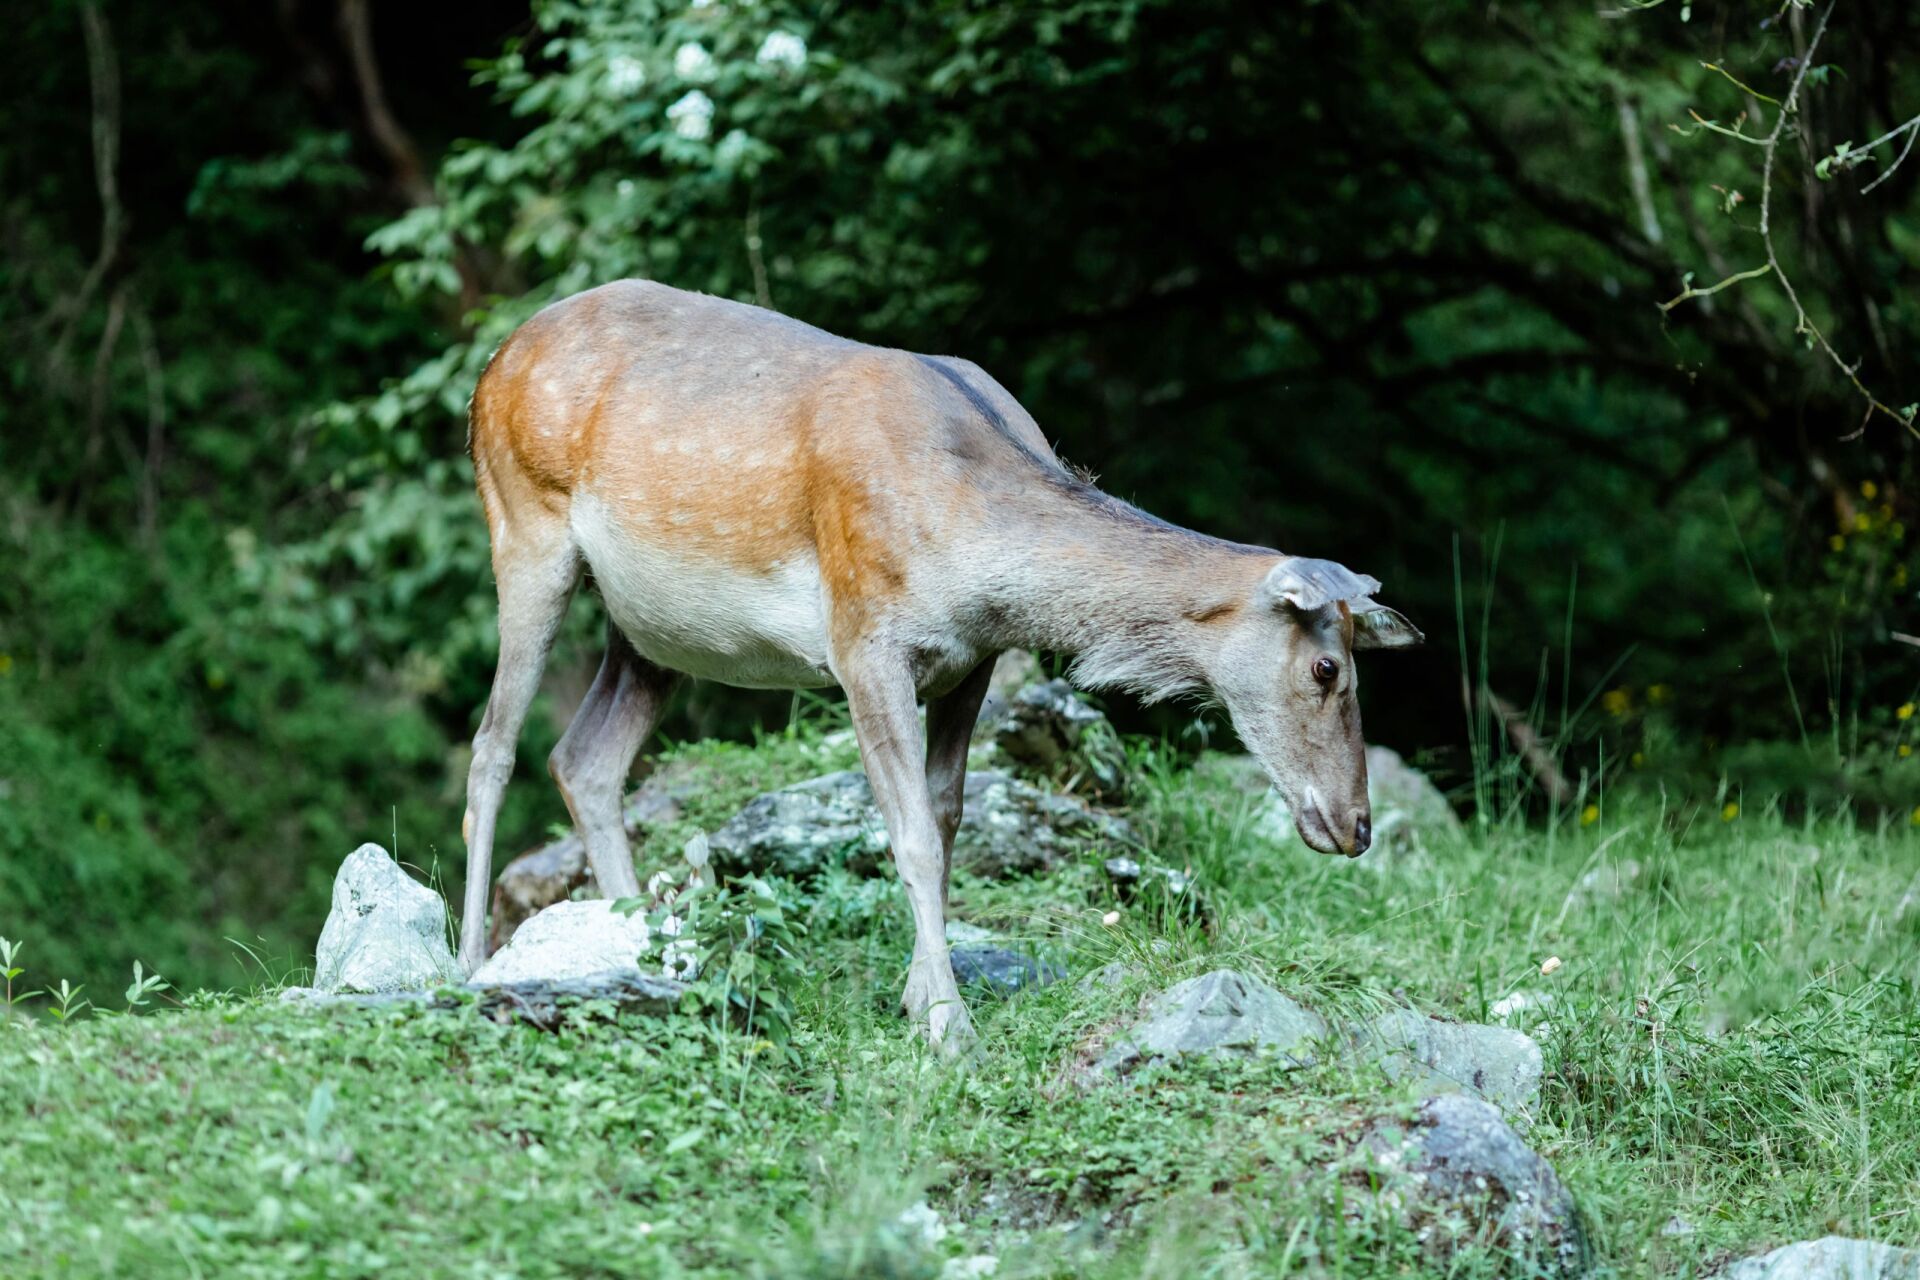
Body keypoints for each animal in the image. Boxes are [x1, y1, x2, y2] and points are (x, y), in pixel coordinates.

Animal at [458, 279, 1422, 1045]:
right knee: (494, 746)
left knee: (585, 759)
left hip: (651, 630)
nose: (1357, 827)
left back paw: (647, 949)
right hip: (523, 529)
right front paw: (951, 1027)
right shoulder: (862, 640)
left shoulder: (975, 660)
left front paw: (919, 995)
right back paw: (469, 960)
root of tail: (494, 361)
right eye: (1328, 670)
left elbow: (950, 816)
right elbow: (912, 832)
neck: (972, 537)